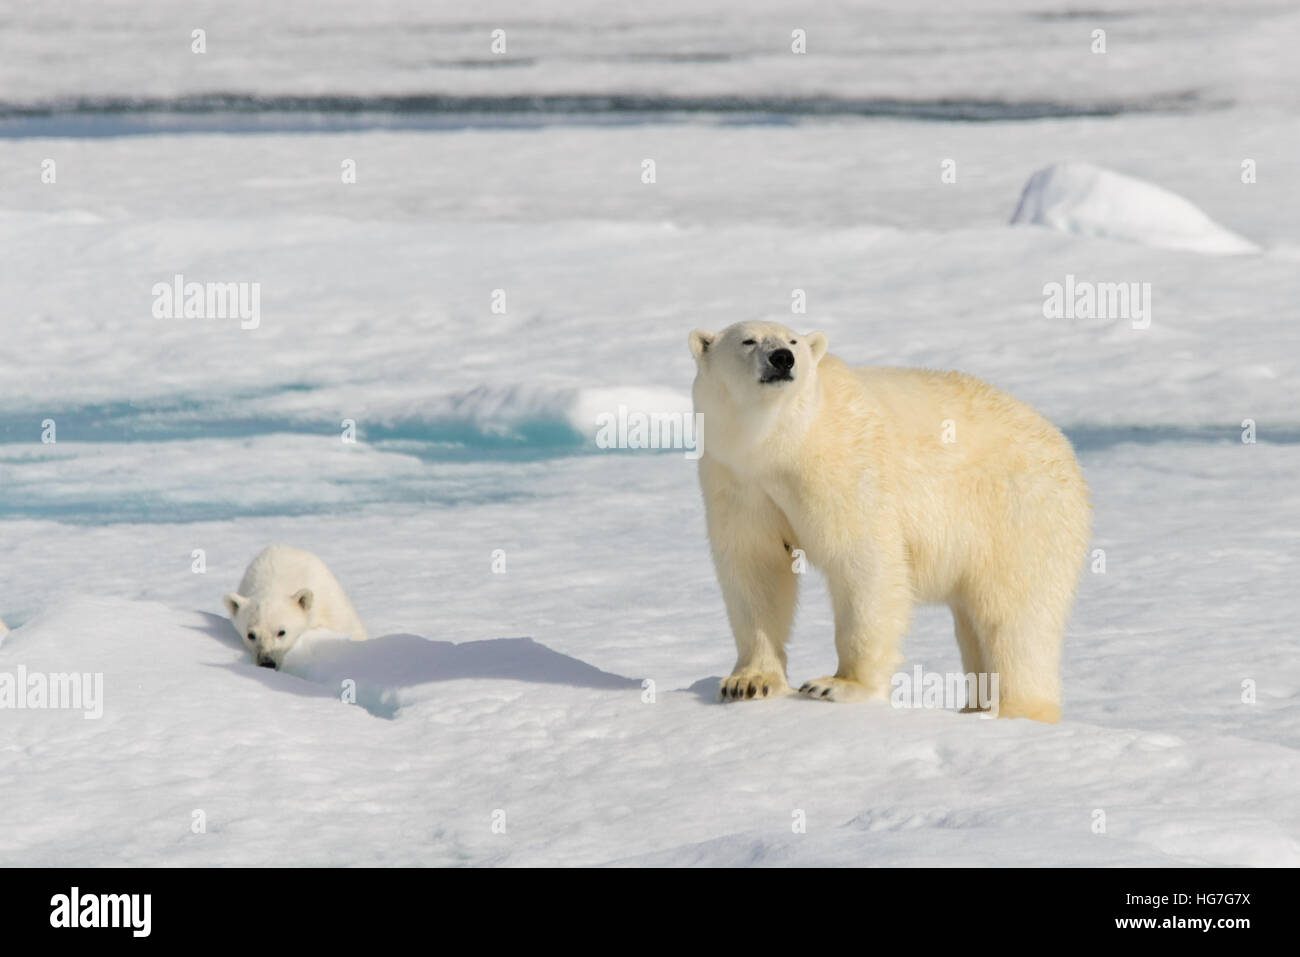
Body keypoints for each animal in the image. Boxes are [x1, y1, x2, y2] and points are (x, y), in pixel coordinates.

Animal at [689, 320, 1090, 722]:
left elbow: (863, 560)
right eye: (748, 340)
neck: (777, 444)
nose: (782, 359)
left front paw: (837, 685)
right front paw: (748, 682)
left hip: (1020, 513)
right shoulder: (737, 481)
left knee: (1015, 617)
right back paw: (975, 706)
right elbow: (756, 568)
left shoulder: (841, 465)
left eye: (793, 341)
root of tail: (1065, 448)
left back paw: (1015, 710)